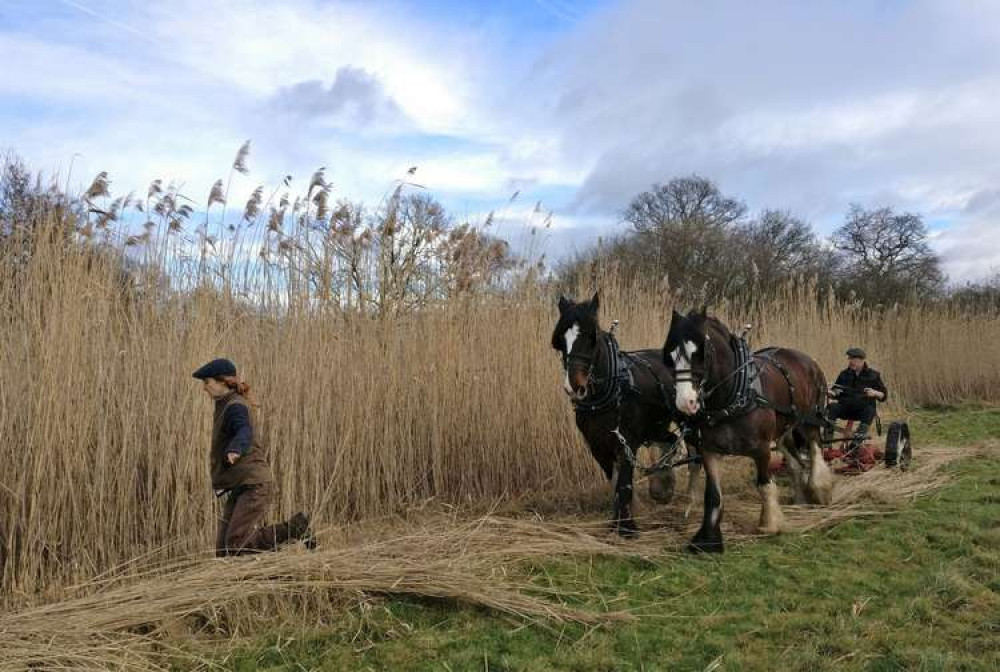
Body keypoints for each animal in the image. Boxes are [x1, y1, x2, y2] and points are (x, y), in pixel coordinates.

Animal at [664, 308, 836, 552]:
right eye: (670, 356)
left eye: (699, 354)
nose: (684, 402)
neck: (732, 399)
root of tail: (808, 360)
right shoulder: (709, 451)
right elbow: (713, 496)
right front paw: (707, 539)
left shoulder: (762, 449)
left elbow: (765, 485)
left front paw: (769, 524)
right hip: (783, 432)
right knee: (795, 464)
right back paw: (800, 500)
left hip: (810, 422)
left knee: (814, 452)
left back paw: (820, 490)